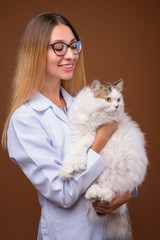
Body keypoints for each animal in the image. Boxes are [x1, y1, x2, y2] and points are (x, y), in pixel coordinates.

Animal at [58, 79, 148, 240]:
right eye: (107, 99)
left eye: (118, 99)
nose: (117, 106)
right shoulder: (77, 134)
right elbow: (72, 153)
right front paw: (66, 171)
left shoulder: (90, 136)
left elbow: (79, 149)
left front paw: (78, 165)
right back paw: (93, 192)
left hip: (120, 174)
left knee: (111, 193)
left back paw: (99, 194)